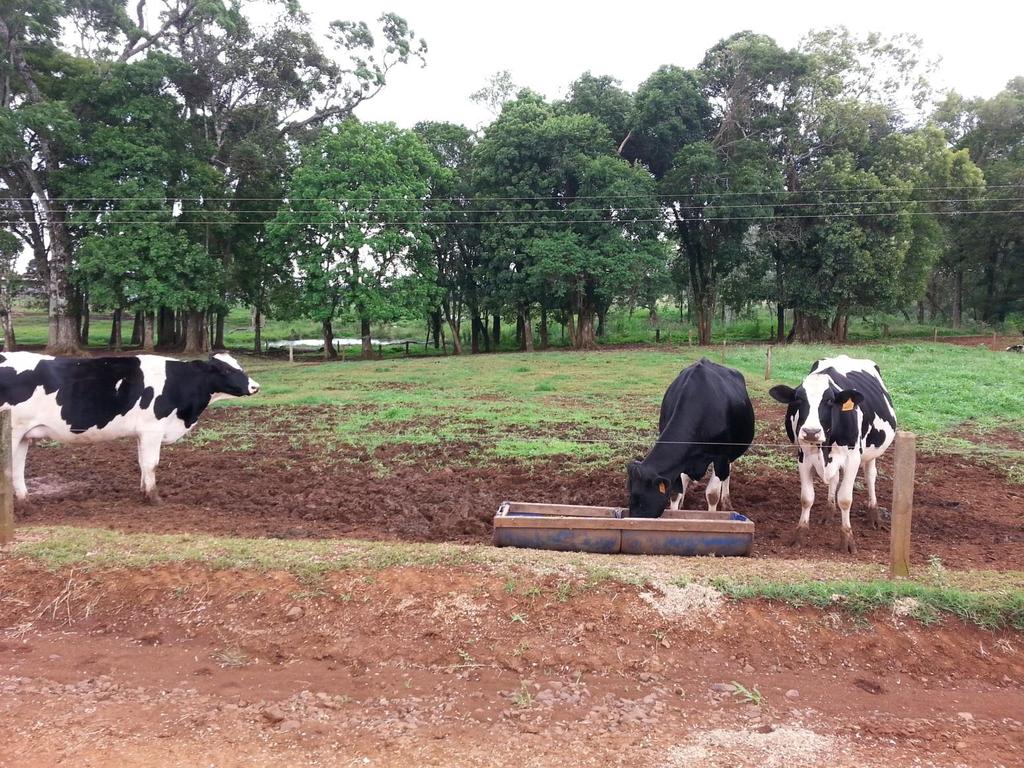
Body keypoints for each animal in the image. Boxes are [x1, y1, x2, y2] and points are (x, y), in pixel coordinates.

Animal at [0, 350, 260, 505]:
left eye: (239, 365)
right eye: (225, 369)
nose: (255, 386)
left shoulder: (142, 433)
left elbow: (142, 463)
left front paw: (144, 492)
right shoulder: (153, 429)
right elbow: (151, 463)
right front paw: (154, 498)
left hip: (22, 435)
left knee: (18, 468)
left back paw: (24, 501)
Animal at [622, 360, 753, 518]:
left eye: (642, 500)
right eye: (630, 496)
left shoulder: (721, 457)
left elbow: (712, 494)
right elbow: (675, 493)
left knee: (727, 473)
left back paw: (727, 503)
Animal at [770, 354, 897, 552]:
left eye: (829, 401)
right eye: (798, 399)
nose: (811, 432)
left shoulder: (853, 458)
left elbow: (845, 499)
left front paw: (847, 540)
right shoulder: (803, 457)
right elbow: (807, 498)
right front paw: (800, 534)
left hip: (872, 452)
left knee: (870, 476)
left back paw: (874, 516)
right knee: (835, 479)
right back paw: (829, 513)